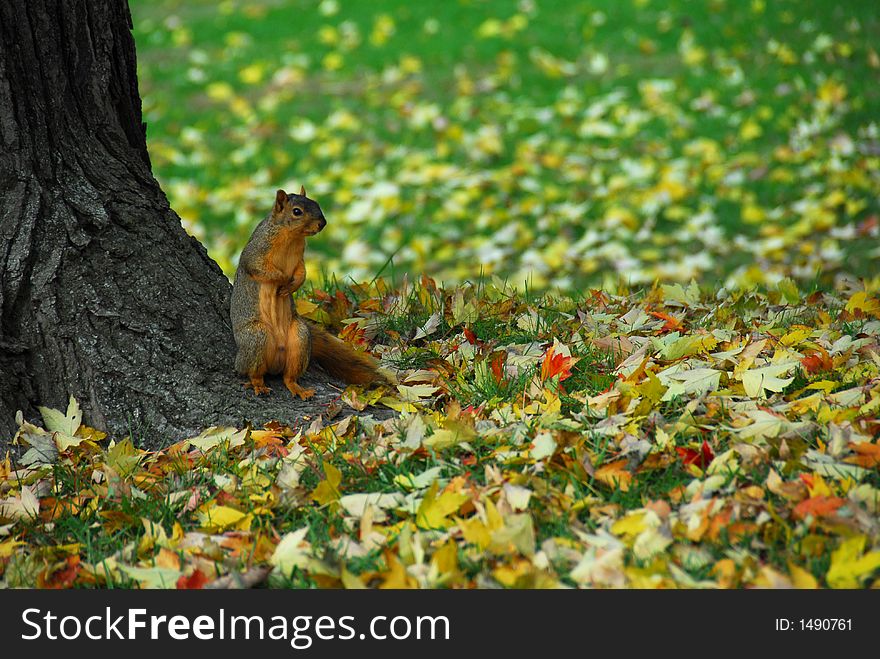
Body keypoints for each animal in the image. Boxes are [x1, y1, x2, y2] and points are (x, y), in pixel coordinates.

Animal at [230, 188, 382, 400]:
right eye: (297, 211)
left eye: (316, 203)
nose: (323, 223)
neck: (291, 236)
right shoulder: (256, 251)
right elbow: (259, 268)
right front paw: (282, 279)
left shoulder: (300, 257)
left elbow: (302, 273)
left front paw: (292, 285)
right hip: (256, 337)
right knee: (252, 372)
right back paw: (258, 385)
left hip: (300, 339)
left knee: (289, 377)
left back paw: (299, 389)